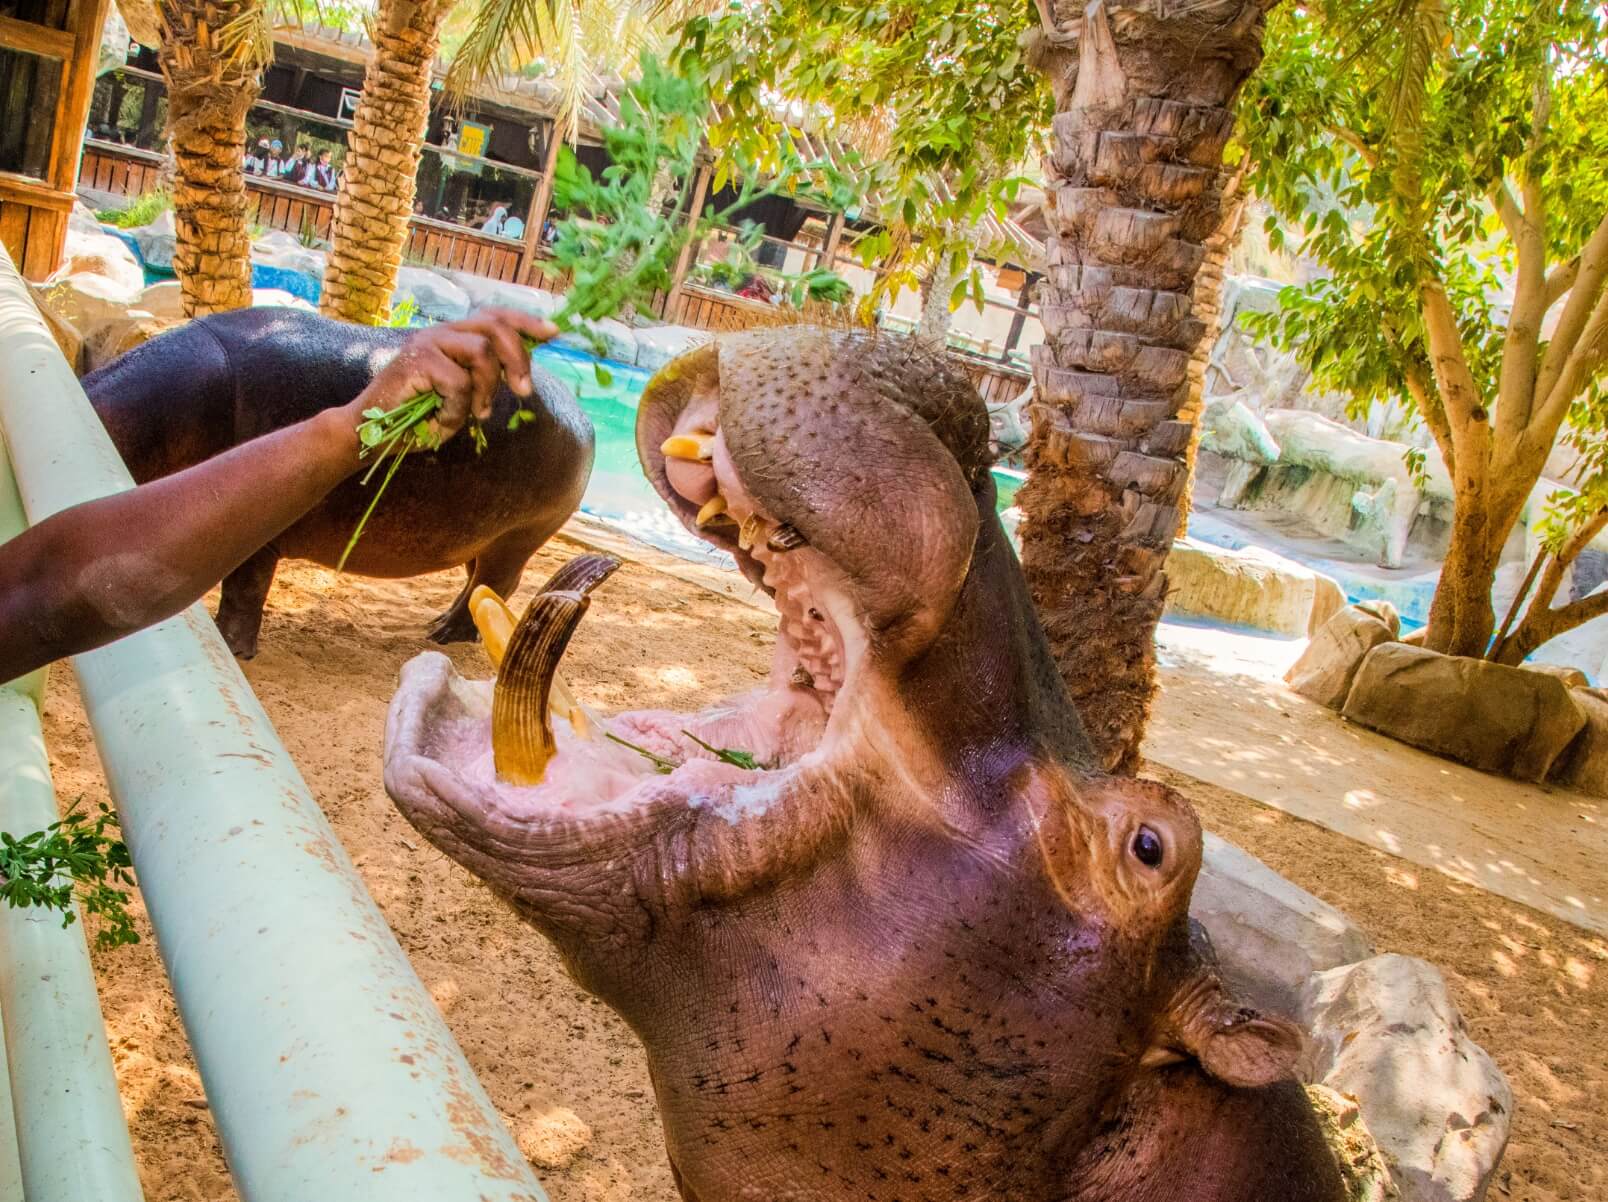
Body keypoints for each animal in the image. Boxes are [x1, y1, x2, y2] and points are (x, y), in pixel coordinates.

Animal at [83, 307, 594, 657]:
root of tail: (580, 414)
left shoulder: (258, 543)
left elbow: (244, 594)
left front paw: (232, 650)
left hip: (517, 538)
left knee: (497, 582)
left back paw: (445, 636)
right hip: (484, 537)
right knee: (480, 584)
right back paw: (437, 626)